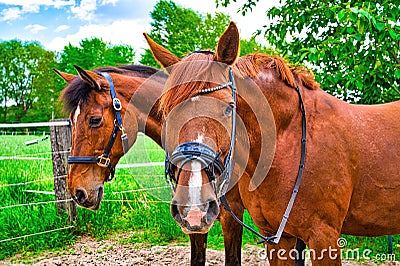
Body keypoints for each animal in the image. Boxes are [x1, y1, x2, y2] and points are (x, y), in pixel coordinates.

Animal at [145, 21, 400, 264]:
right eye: (167, 113)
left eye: (228, 109)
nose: (193, 207)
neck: (290, 144)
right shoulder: (278, 238)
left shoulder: (323, 237)